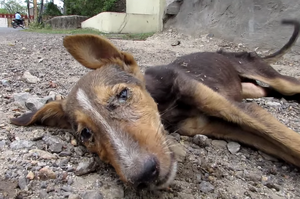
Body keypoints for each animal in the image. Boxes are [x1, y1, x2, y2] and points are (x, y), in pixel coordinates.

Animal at [9, 19, 300, 190]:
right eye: (86, 134)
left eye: (123, 95)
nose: (144, 176)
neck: (165, 105)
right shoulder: (211, 125)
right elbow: (282, 147)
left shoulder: (238, 109)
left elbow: (290, 142)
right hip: (253, 89)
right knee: (260, 90)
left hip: (270, 77)